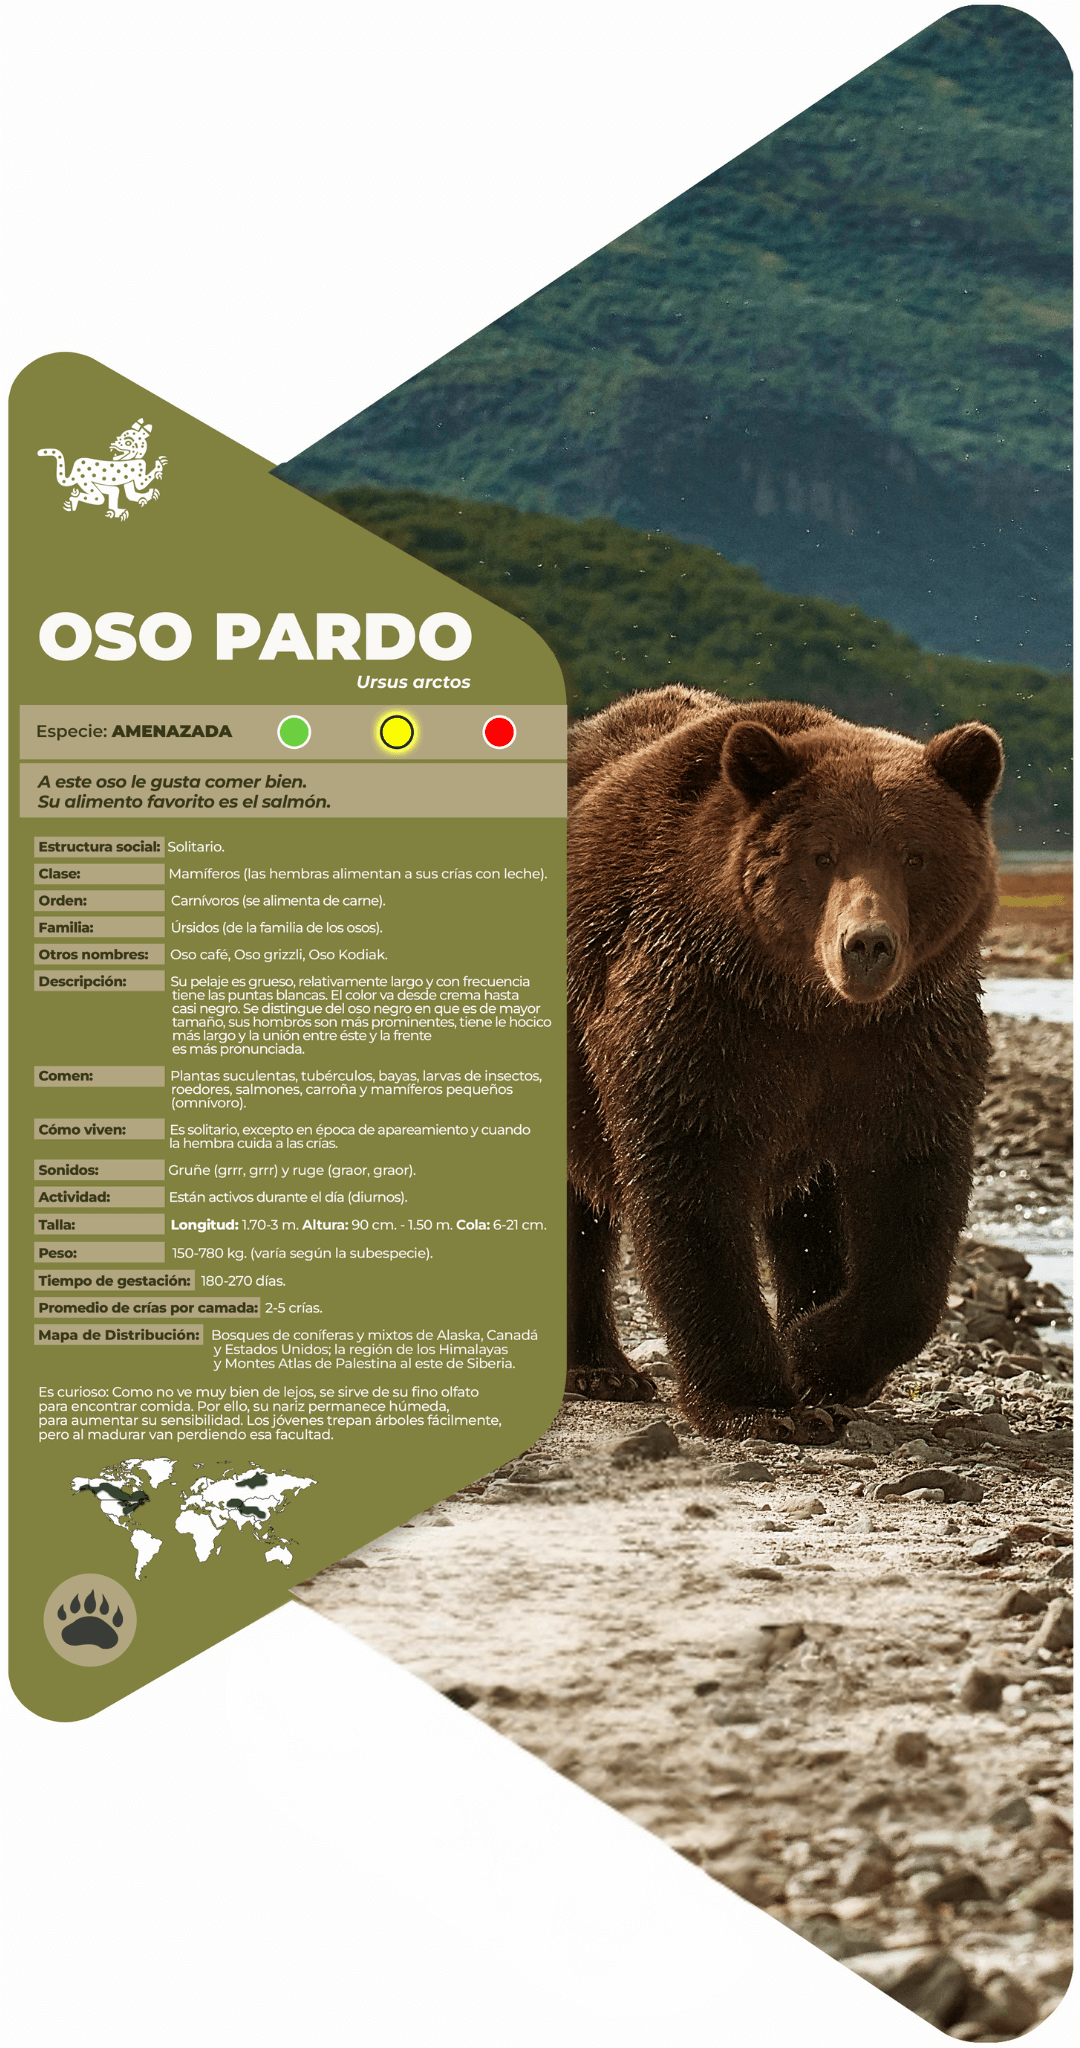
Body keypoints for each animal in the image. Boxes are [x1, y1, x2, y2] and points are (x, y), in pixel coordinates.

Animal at [567, 685, 1004, 1436]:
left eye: (914, 855)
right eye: (823, 854)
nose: (867, 945)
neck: (810, 1005)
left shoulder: (906, 1040)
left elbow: (914, 1193)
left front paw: (816, 1353)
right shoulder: (703, 1015)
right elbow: (692, 1178)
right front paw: (756, 1400)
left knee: (805, 1209)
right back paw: (600, 1369)